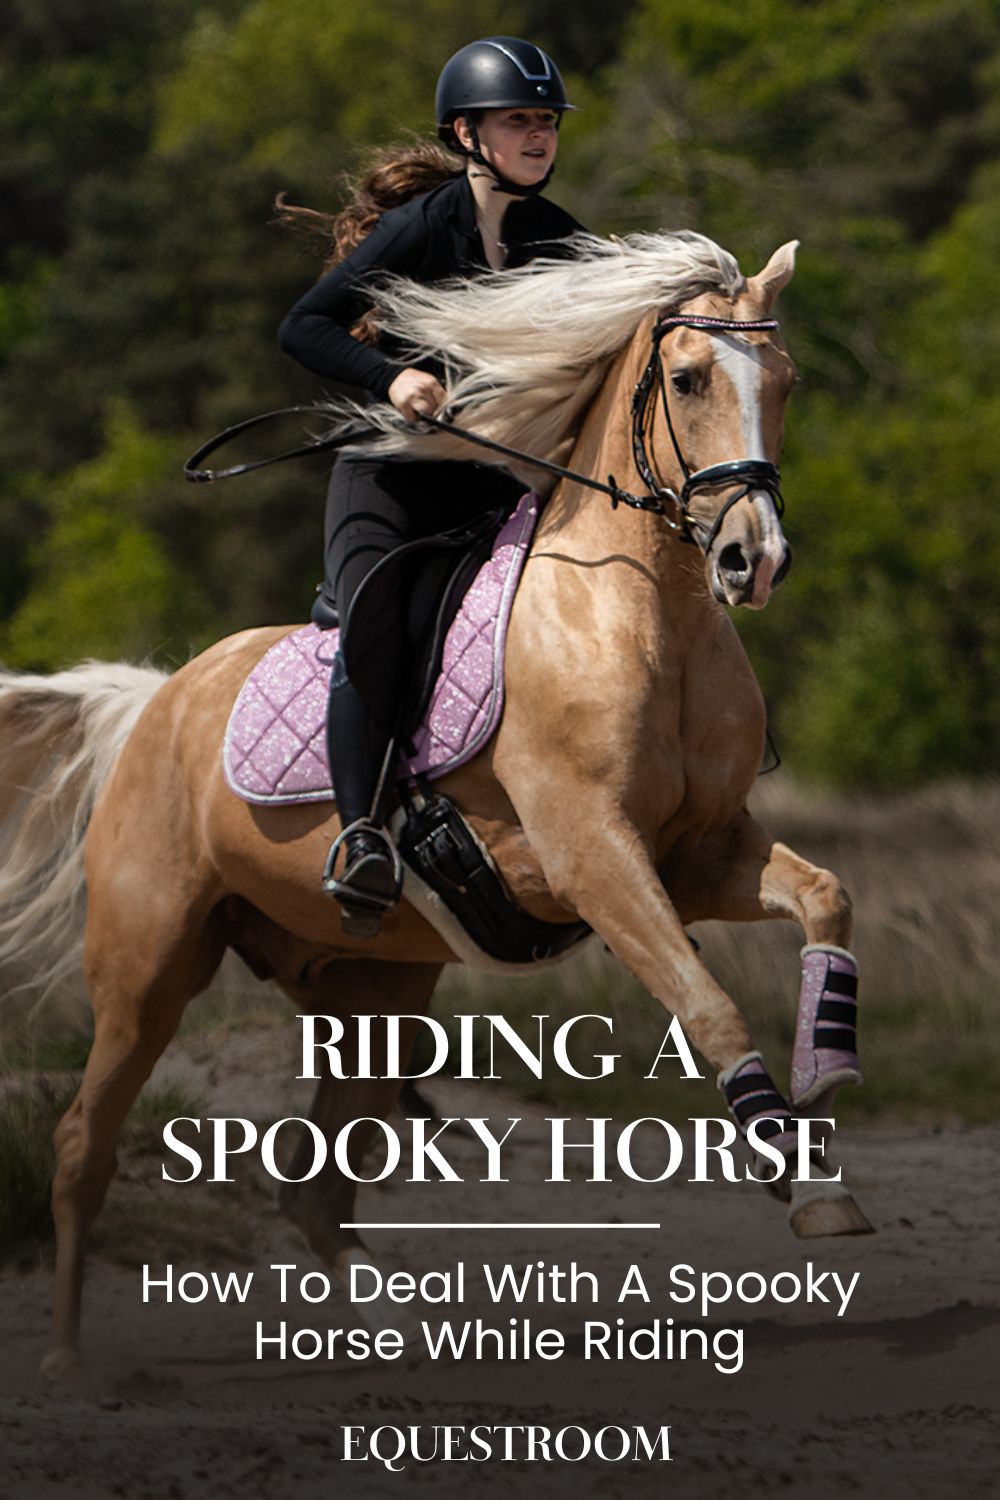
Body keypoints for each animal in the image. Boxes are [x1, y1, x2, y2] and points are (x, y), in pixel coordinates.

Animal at [0, 230, 870, 1388]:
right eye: (688, 380)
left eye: (785, 382)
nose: (753, 560)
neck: (641, 617)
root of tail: (155, 702)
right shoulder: (592, 856)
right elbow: (709, 1004)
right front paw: (798, 1176)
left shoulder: (700, 854)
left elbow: (826, 898)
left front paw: (824, 1099)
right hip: (150, 966)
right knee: (82, 1144)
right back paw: (66, 1360)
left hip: (378, 994)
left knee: (316, 1186)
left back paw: (395, 1330)